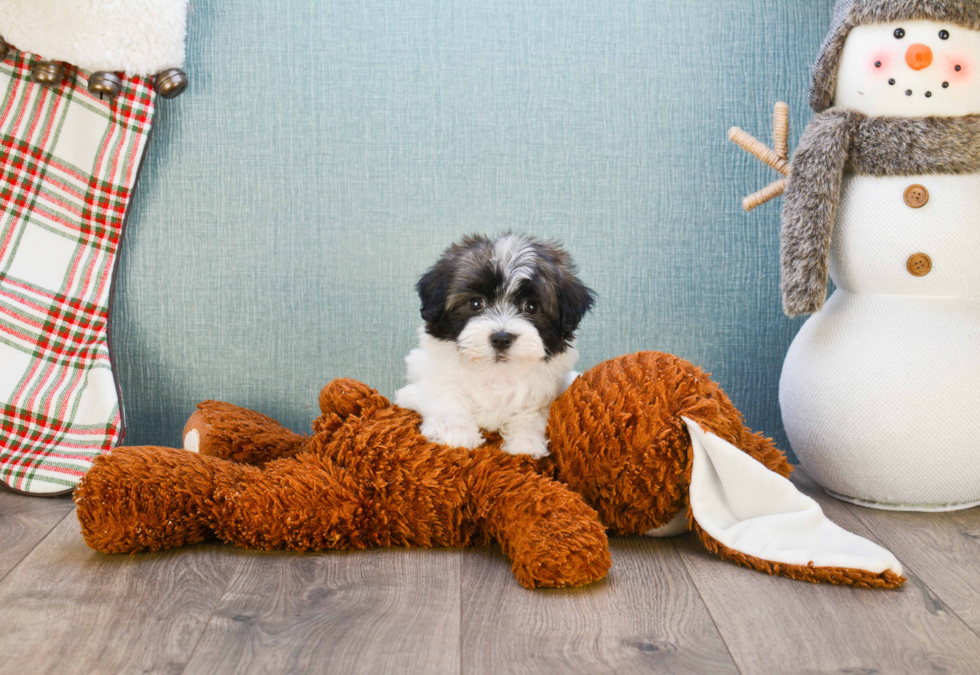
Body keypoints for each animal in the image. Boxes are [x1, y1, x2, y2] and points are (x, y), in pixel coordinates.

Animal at [392, 232, 592, 460]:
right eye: (476, 303)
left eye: (531, 306)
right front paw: (454, 430)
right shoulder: (424, 380)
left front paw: (526, 443)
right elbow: (443, 393)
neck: (495, 372)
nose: (502, 338)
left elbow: (531, 413)